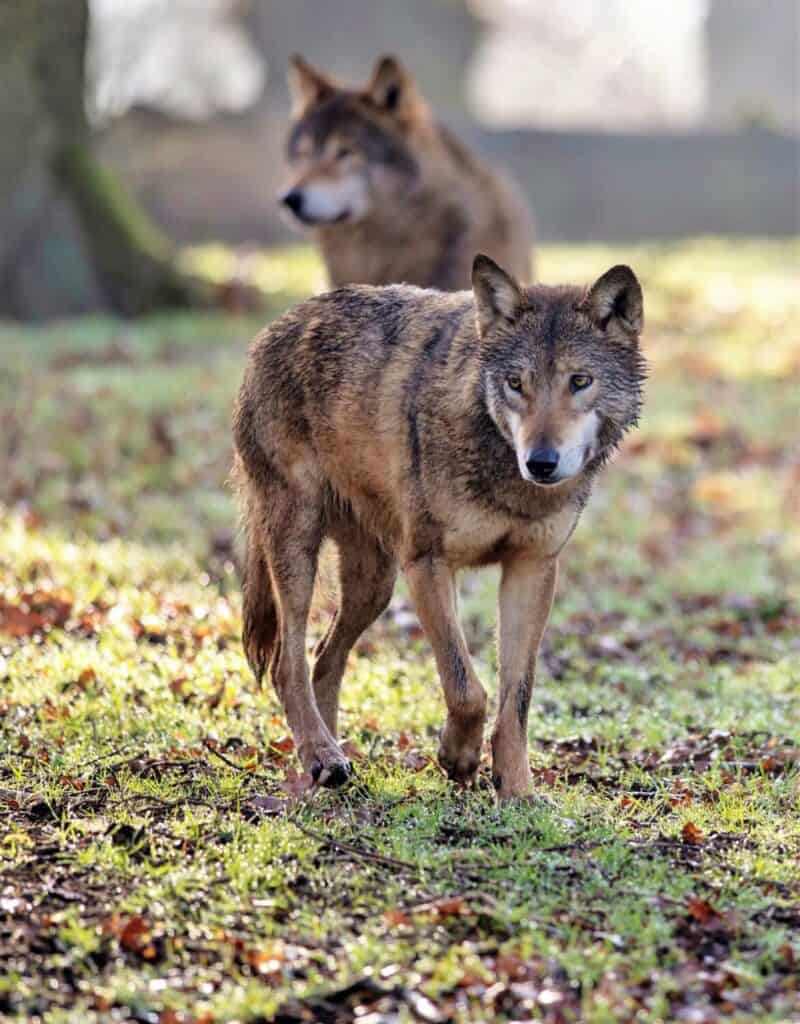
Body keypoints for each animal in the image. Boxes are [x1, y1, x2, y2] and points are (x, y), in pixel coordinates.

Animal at [232, 256, 645, 800]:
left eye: (580, 381)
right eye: (516, 383)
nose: (540, 462)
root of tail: (274, 327)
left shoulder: (532, 569)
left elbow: (516, 698)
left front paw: (518, 793)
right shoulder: (428, 564)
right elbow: (466, 686)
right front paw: (458, 757)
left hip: (374, 586)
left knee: (323, 658)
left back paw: (327, 764)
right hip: (300, 551)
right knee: (288, 662)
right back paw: (321, 756)